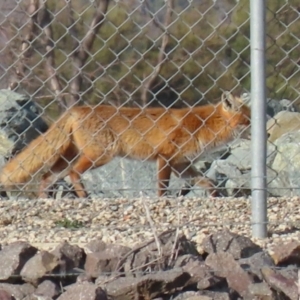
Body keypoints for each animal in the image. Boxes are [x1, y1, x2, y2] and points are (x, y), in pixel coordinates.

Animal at [0, 92, 251, 198]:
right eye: (248, 120)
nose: (257, 130)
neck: (205, 125)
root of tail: (77, 109)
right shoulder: (166, 158)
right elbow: (162, 188)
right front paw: (162, 201)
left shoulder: (182, 164)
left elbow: (209, 182)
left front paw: (215, 196)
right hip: (100, 155)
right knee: (73, 174)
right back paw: (84, 197)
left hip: (70, 157)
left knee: (46, 178)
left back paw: (45, 200)